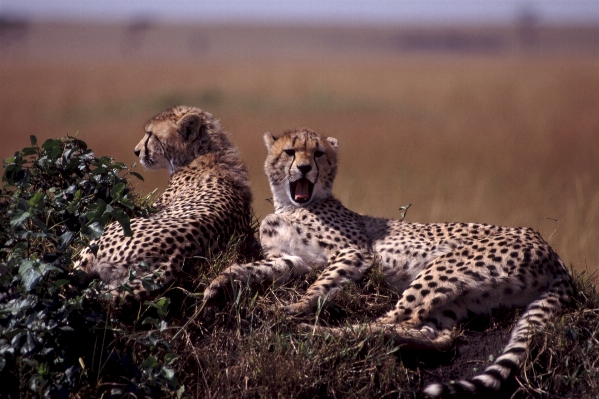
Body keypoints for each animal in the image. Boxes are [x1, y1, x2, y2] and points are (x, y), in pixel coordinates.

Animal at [204, 128, 576, 399]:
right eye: (291, 152)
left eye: (318, 153)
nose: (306, 168)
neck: (292, 205)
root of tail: (551, 250)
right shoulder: (292, 259)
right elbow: (253, 269)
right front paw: (217, 285)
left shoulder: (354, 252)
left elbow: (321, 284)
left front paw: (296, 307)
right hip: (470, 295)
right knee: (437, 335)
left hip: (444, 267)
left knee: (393, 319)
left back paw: (321, 333)